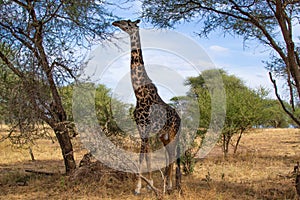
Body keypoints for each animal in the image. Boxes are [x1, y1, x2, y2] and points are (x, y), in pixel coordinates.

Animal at [112, 19, 182, 195]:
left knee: (172, 155)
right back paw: (169, 184)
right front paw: (148, 184)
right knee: (168, 155)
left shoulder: (147, 127)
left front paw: (139, 187)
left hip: (173, 133)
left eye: (127, 23)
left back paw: (169, 186)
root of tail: (180, 119)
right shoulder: (141, 127)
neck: (139, 93)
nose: (115, 22)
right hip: (163, 136)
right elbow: (146, 155)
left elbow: (142, 155)